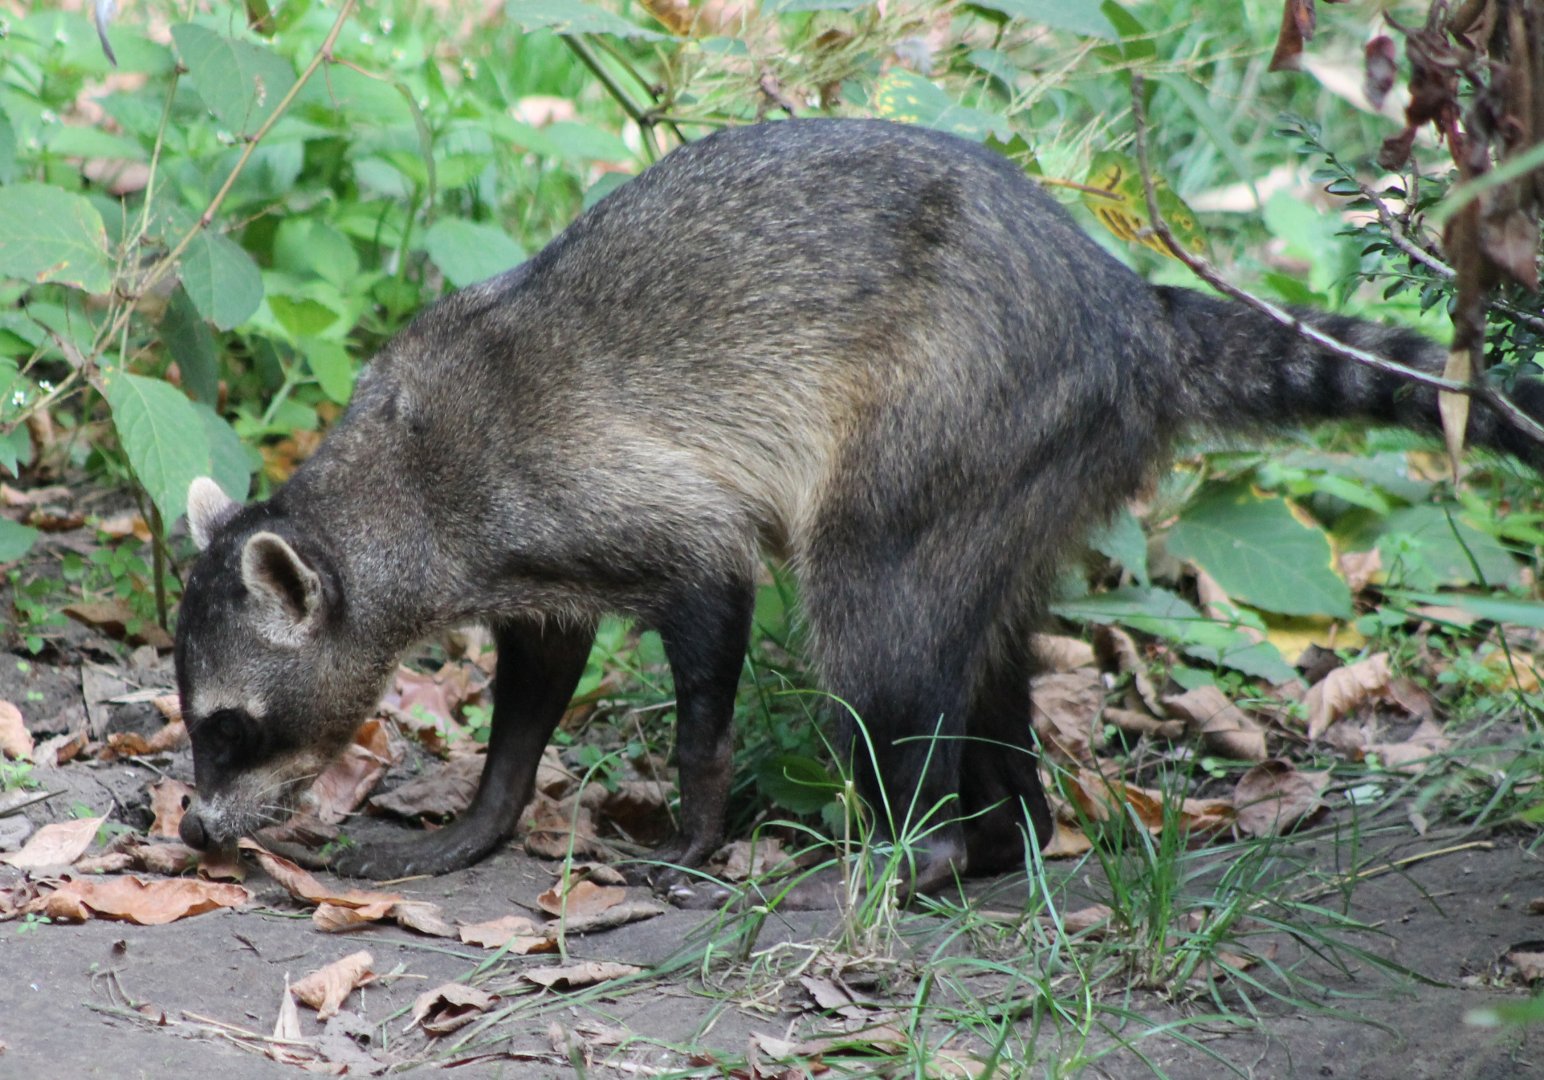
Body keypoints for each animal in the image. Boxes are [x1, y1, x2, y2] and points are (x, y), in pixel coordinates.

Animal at [175, 118, 1543, 901]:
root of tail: (1130, 312)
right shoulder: (533, 565)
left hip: (955, 414)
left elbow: (711, 623)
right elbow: (534, 685)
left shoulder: (606, 493)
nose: (191, 832)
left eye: (227, 727)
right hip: (1028, 475)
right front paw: (483, 815)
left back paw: (921, 846)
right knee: (979, 653)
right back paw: (1002, 830)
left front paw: (697, 825)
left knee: (877, 625)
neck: (395, 488)